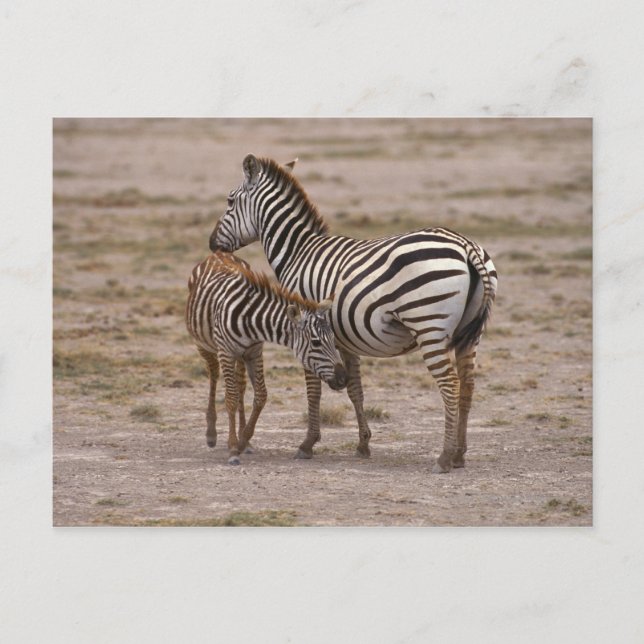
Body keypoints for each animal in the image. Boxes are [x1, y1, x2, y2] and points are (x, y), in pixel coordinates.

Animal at [186, 250, 347, 465]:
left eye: (333, 339)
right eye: (316, 342)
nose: (343, 379)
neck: (249, 319)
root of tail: (218, 253)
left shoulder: (255, 352)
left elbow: (260, 395)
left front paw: (243, 440)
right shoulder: (226, 352)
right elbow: (230, 398)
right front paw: (233, 448)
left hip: (242, 355)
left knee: (240, 386)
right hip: (203, 344)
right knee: (213, 374)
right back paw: (211, 433)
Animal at [209, 155, 498, 473]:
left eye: (229, 201)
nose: (212, 244)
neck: (298, 252)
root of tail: (466, 245)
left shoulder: (307, 330)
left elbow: (314, 389)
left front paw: (307, 444)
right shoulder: (344, 338)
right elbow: (354, 388)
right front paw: (363, 444)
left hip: (429, 327)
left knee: (450, 385)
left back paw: (444, 457)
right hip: (469, 334)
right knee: (468, 386)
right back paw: (459, 454)